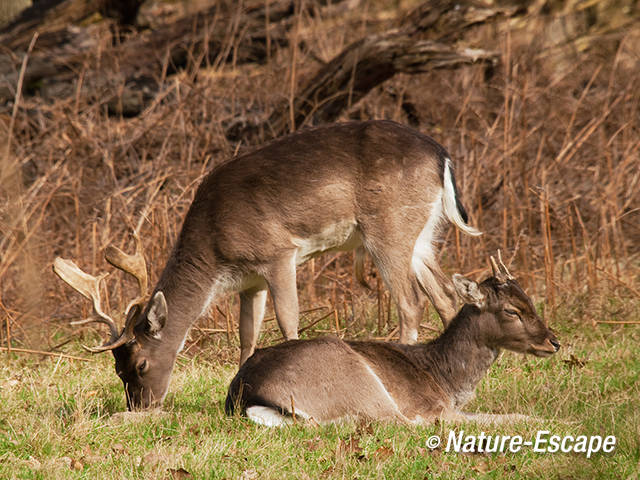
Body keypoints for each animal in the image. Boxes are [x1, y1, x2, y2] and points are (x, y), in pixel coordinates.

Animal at [53, 120, 480, 408]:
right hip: (421, 235)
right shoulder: (250, 282)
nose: (141, 407)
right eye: (117, 371)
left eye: (140, 365)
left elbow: (288, 322)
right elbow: (248, 336)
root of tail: (442, 157)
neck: (216, 254)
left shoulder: (279, 253)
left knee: (411, 302)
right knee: (445, 295)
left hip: (387, 226)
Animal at [228, 255, 556, 428]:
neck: (446, 381)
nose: (553, 341)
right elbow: (504, 417)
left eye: (530, 300)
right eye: (512, 310)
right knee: (393, 422)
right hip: (358, 381)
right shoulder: (433, 406)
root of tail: (247, 394)